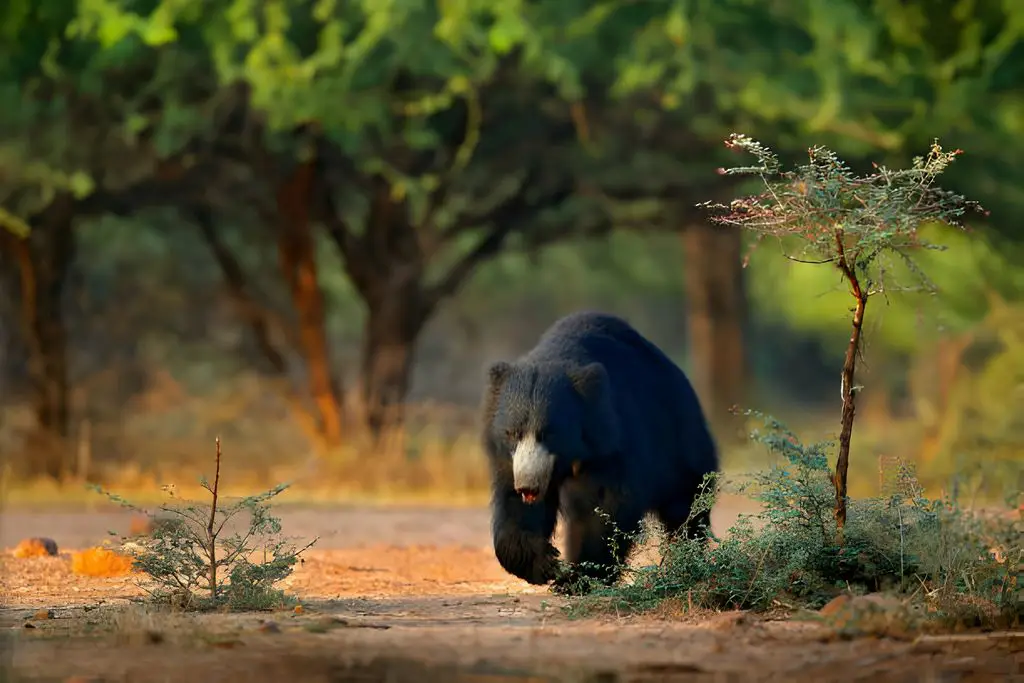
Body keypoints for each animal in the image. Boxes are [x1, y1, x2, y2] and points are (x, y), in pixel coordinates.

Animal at [480, 310, 720, 594]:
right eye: (512, 433)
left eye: (549, 434)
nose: (528, 485)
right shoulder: (510, 460)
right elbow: (515, 508)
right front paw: (544, 563)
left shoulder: (612, 443)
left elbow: (603, 507)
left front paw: (575, 578)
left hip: (679, 440)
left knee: (686, 503)